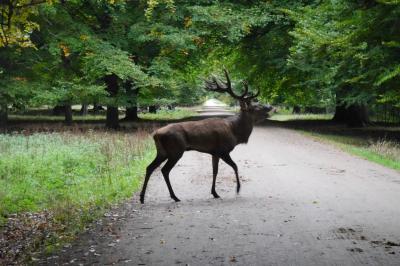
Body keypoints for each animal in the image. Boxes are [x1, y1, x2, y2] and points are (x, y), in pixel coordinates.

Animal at [139, 69, 274, 204]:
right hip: (175, 150)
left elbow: (214, 171)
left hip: (162, 152)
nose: (271, 107)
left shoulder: (214, 152)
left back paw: (142, 197)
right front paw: (237, 189)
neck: (235, 132)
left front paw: (214, 193)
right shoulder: (223, 150)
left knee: (149, 167)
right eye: (256, 107)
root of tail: (156, 134)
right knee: (164, 170)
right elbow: (234, 166)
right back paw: (174, 197)